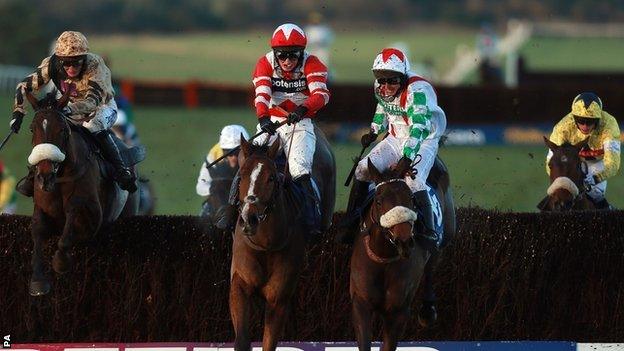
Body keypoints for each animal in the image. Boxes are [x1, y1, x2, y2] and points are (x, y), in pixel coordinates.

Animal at [24, 91, 144, 296]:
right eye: (33, 129)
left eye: (63, 130)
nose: (45, 175)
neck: (61, 178)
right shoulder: (41, 208)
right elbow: (38, 233)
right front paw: (38, 281)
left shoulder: (92, 216)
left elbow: (68, 231)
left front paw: (60, 262)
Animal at [230, 131, 336, 350]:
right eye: (241, 175)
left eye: (271, 177)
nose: (249, 218)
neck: (266, 244)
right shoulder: (239, 284)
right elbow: (242, 339)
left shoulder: (278, 298)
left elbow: (269, 342)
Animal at [348, 157, 456, 351]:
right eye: (378, 201)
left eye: (412, 199)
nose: (404, 241)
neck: (383, 259)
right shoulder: (361, 304)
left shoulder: (398, 311)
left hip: (444, 239)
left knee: (431, 268)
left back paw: (428, 310)